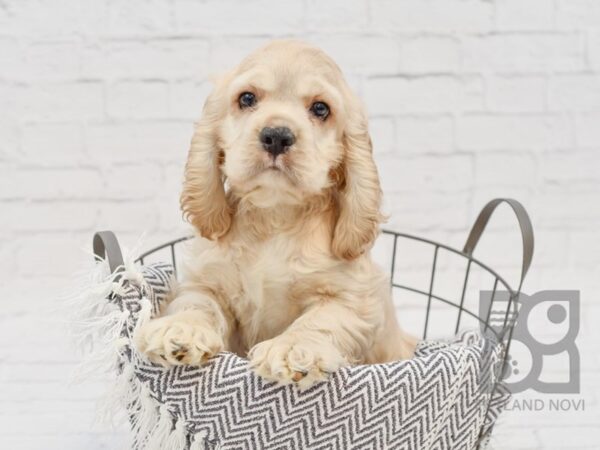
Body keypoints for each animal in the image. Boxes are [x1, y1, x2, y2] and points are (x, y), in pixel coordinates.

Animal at [136, 40, 418, 388]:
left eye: (321, 108)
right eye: (247, 98)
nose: (277, 136)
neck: (275, 216)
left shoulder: (353, 301)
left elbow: (320, 319)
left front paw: (292, 348)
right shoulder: (207, 282)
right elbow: (198, 303)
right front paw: (180, 328)